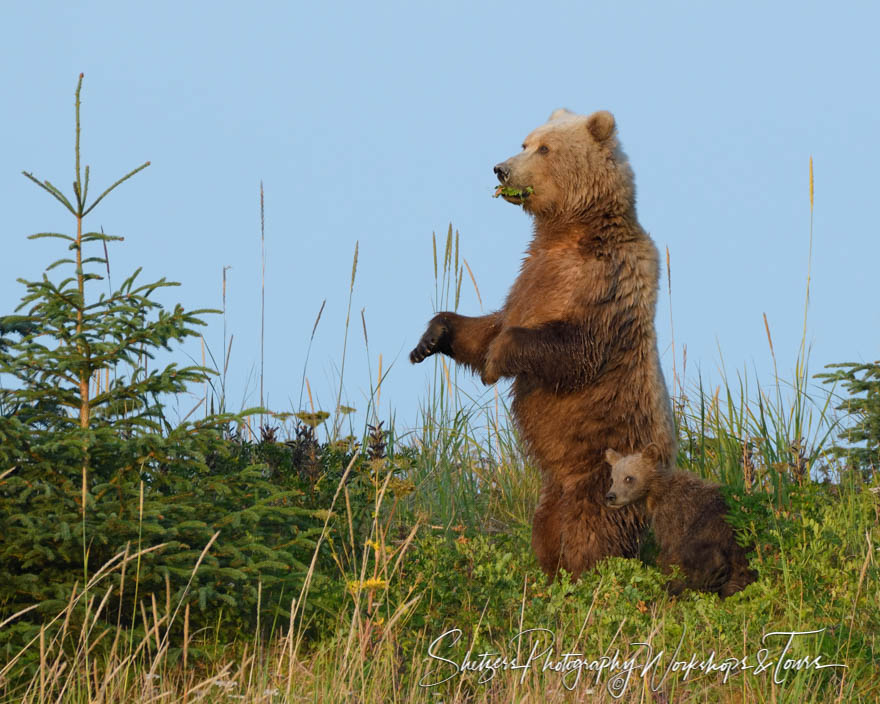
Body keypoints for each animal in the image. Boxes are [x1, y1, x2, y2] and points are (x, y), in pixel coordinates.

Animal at [410, 106, 672, 576]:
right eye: (525, 141)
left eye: (545, 148)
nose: (501, 168)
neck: (571, 229)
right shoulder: (530, 277)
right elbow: (489, 326)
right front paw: (432, 336)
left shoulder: (604, 284)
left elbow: (570, 347)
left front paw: (496, 362)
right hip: (553, 491)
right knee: (547, 525)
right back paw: (548, 570)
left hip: (605, 474)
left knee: (591, 530)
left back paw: (585, 572)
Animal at [604, 442, 756, 596]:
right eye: (613, 479)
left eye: (628, 478)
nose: (611, 496)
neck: (656, 495)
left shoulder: (673, 516)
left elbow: (669, 552)